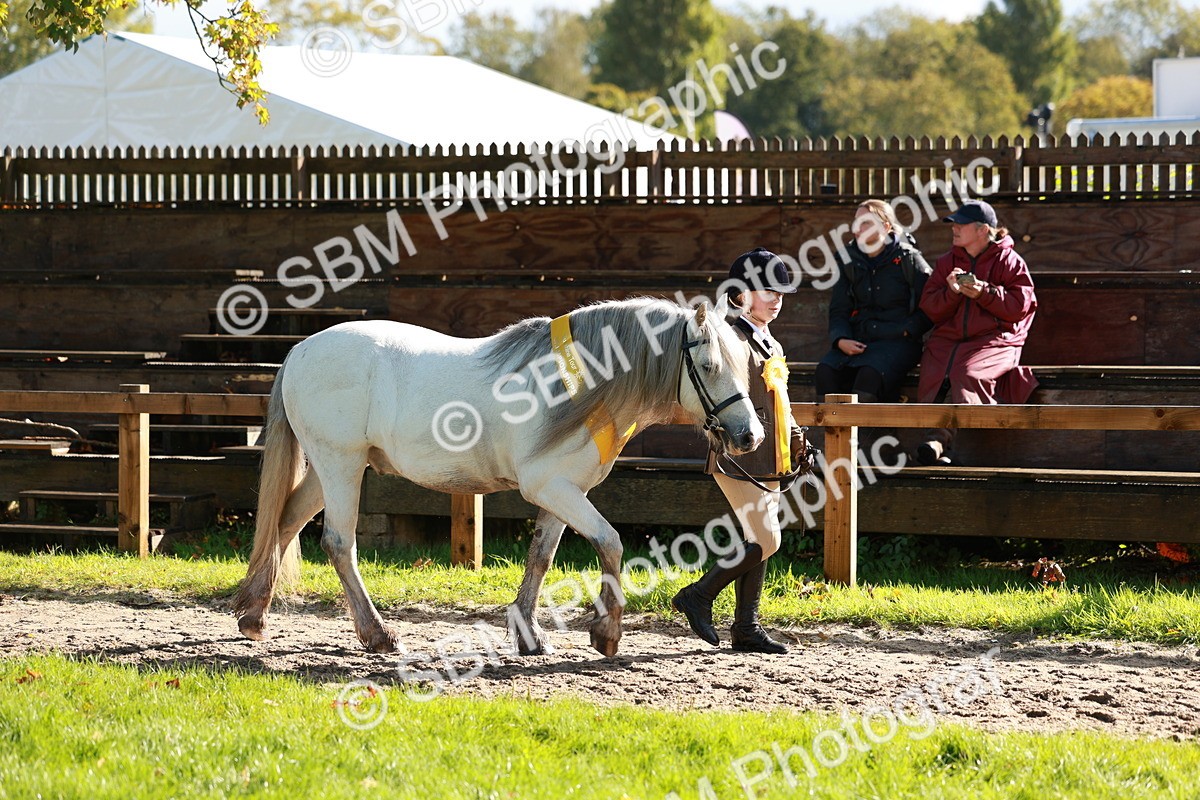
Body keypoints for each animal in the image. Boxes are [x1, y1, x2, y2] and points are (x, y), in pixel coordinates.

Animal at [232, 294, 765, 657]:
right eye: (709, 365)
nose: (750, 436)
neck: (580, 387)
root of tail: (300, 350)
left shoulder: (562, 490)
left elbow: (540, 558)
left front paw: (529, 636)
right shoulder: (550, 487)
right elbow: (610, 543)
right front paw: (606, 634)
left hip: (332, 467)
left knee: (284, 522)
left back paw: (254, 617)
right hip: (340, 464)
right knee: (339, 543)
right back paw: (378, 634)